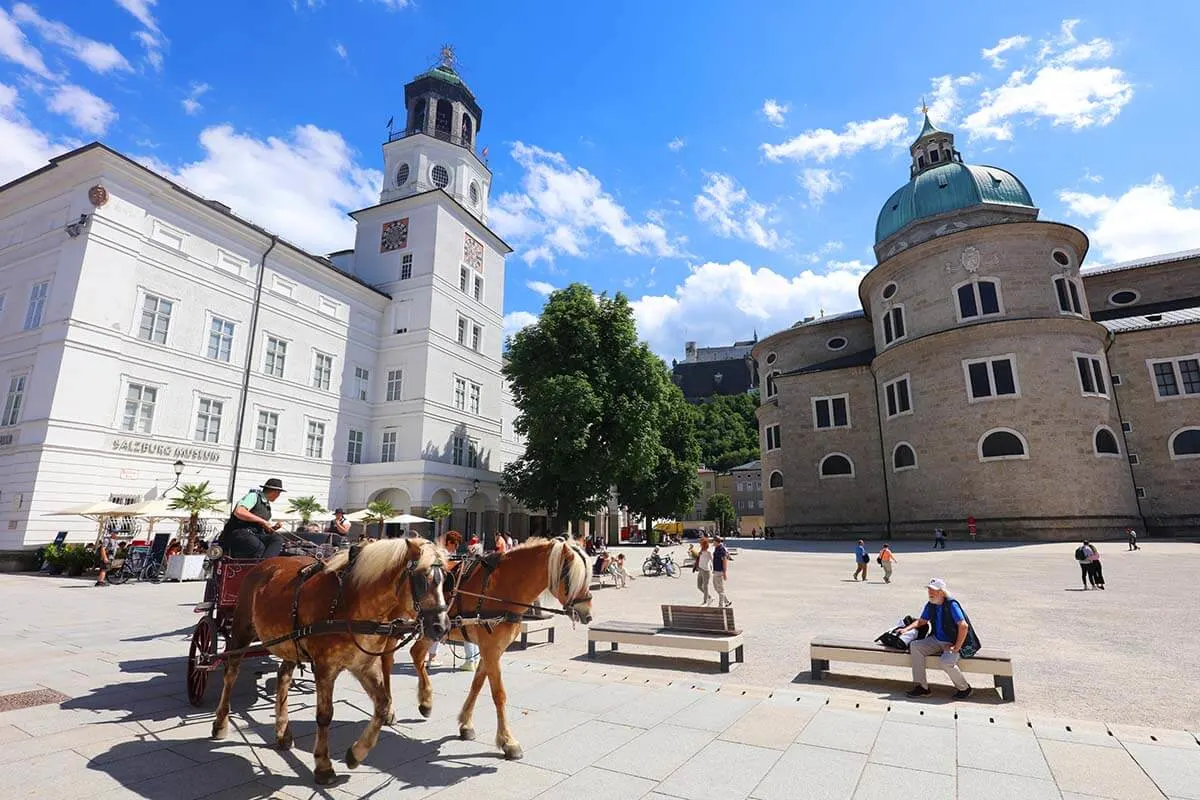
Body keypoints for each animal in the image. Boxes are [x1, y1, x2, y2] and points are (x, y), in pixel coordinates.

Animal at [211, 537, 451, 786]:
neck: (351, 601)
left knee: (283, 676)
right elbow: (325, 716)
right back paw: (220, 722)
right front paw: (323, 765)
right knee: (231, 672)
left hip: (290, 643)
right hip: (241, 627)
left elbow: (382, 705)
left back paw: (283, 731)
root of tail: (264, 564)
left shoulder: (364, 665)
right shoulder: (325, 667)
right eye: (422, 579)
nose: (442, 627)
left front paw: (356, 754)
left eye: (445, 579)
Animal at [403, 534, 590, 762]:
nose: (587, 613)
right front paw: (508, 741)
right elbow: (499, 694)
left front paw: (466, 724)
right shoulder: (490, 649)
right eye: (570, 575)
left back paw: (425, 702)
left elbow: (477, 684)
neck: (502, 587)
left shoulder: (492, 649)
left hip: (432, 628)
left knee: (416, 653)